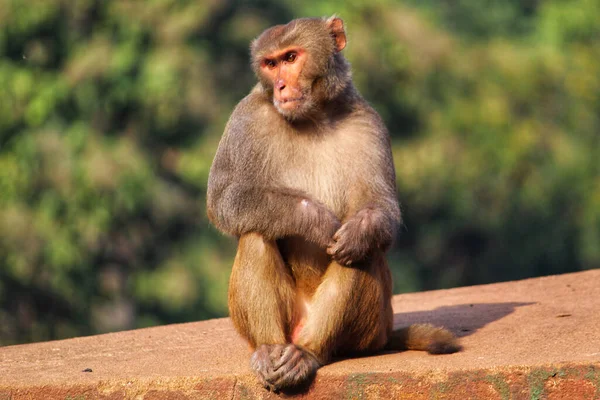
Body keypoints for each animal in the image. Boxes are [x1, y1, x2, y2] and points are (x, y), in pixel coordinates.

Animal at [206, 16, 460, 394]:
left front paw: (359, 232)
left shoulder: (369, 124)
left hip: (369, 330)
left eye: (291, 57)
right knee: (255, 233)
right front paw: (313, 219)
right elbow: (223, 198)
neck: (313, 117)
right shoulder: (245, 117)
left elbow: (381, 210)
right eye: (270, 64)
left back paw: (309, 353)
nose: (280, 86)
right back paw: (269, 349)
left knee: (359, 255)